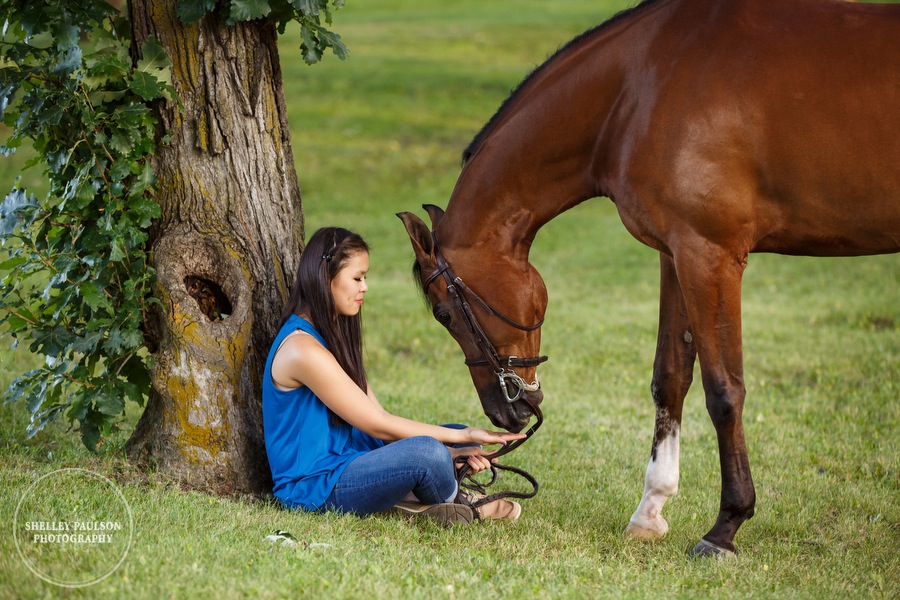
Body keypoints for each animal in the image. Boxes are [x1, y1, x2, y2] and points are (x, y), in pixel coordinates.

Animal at [400, 0, 900, 556]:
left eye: (444, 312)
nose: (504, 415)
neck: (635, 93)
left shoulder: (710, 254)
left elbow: (724, 390)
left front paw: (726, 526)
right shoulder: (676, 253)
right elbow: (671, 377)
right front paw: (651, 509)